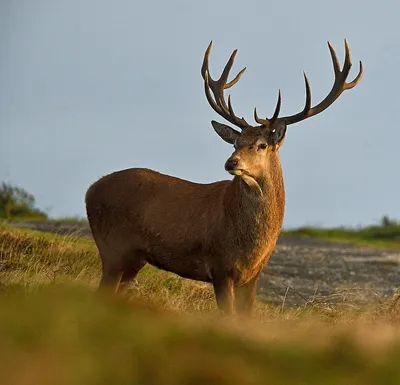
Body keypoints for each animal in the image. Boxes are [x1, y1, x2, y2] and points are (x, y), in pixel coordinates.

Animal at [86, 39, 364, 316]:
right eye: (236, 143)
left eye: (262, 145)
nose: (232, 162)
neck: (251, 244)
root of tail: (90, 189)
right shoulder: (220, 267)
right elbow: (228, 318)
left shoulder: (252, 276)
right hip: (112, 248)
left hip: (134, 259)